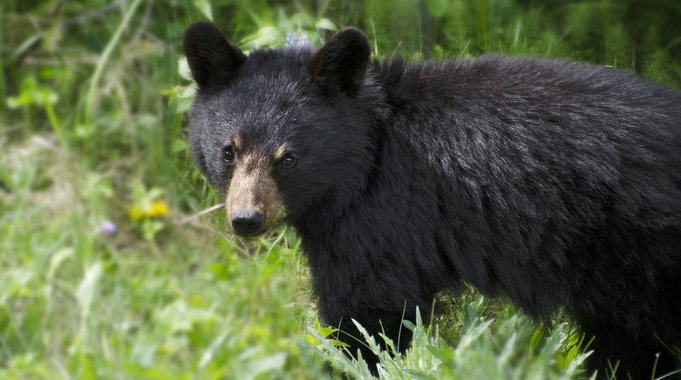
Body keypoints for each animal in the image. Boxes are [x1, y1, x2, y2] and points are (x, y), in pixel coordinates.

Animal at [183, 22, 680, 378]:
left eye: (288, 158)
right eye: (229, 151)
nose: (247, 219)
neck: (366, 158)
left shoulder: (380, 218)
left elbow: (368, 315)